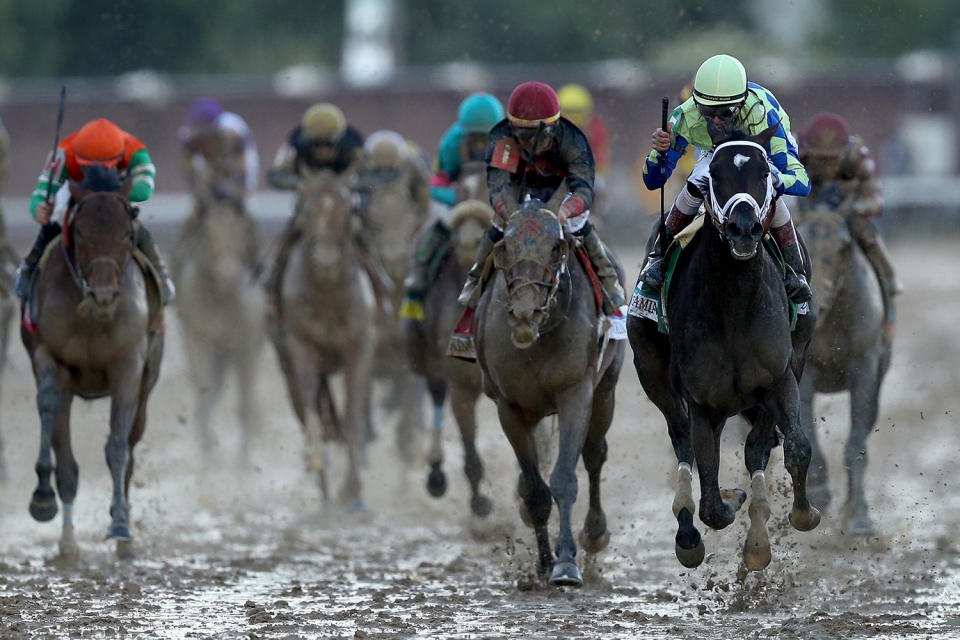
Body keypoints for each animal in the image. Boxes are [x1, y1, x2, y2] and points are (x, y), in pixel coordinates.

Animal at [18, 169, 165, 560]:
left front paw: (120, 526)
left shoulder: (128, 366)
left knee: (130, 447)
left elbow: (117, 448)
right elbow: (49, 407)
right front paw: (43, 501)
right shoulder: (49, 356)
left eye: (127, 232)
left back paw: (123, 532)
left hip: (147, 385)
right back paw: (68, 536)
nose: (103, 294)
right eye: (81, 230)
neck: (92, 317)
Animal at [172, 192, 266, 458]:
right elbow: (205, 388)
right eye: (207, 234)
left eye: (243, 232)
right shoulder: (198, 338)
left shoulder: (247, 344)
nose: (229, 275)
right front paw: (209, 449)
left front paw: (243, 462)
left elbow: (244, 402)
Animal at [272, 170, 376, 510]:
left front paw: (353, 493)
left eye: (348, 210)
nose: (326, 257)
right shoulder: (300, 347)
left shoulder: (361, 348)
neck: (328, 298)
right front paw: (316, 459)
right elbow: (311, 410)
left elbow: (354, 418)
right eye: (305, 210)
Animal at [472, 200, 624, 584]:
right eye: (505, 246)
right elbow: (536, 490)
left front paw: (566, 562)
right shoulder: (509, 408)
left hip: (606, 391)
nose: (524, 314)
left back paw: (594, 532)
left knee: (594, 454)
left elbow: (564, 479)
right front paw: (543, 562)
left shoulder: (576, 393)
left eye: (556, 247)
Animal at [792, 205, 888, 536]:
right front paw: (818, 492)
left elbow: (856, 444)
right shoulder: (804, 374)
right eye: (801, 241)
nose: (815, 303)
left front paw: (859, 517)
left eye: (845, 246)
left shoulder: (865, 370)